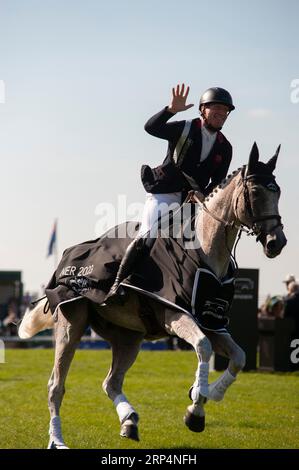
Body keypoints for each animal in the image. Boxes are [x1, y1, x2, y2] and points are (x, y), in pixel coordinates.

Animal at [19, 142, 288, 448]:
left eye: (277, 192)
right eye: (255, 192)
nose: (276, 243)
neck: (206, 252)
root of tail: (67, 256)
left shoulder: (212, 322)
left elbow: (239, 357)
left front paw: (207, 394)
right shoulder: (175, 315)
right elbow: (204, 347)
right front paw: (196, 408)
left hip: (129, 337)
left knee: (111, 382)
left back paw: (129, 421)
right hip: (71, 325)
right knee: (56, 385)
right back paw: (58, 440)